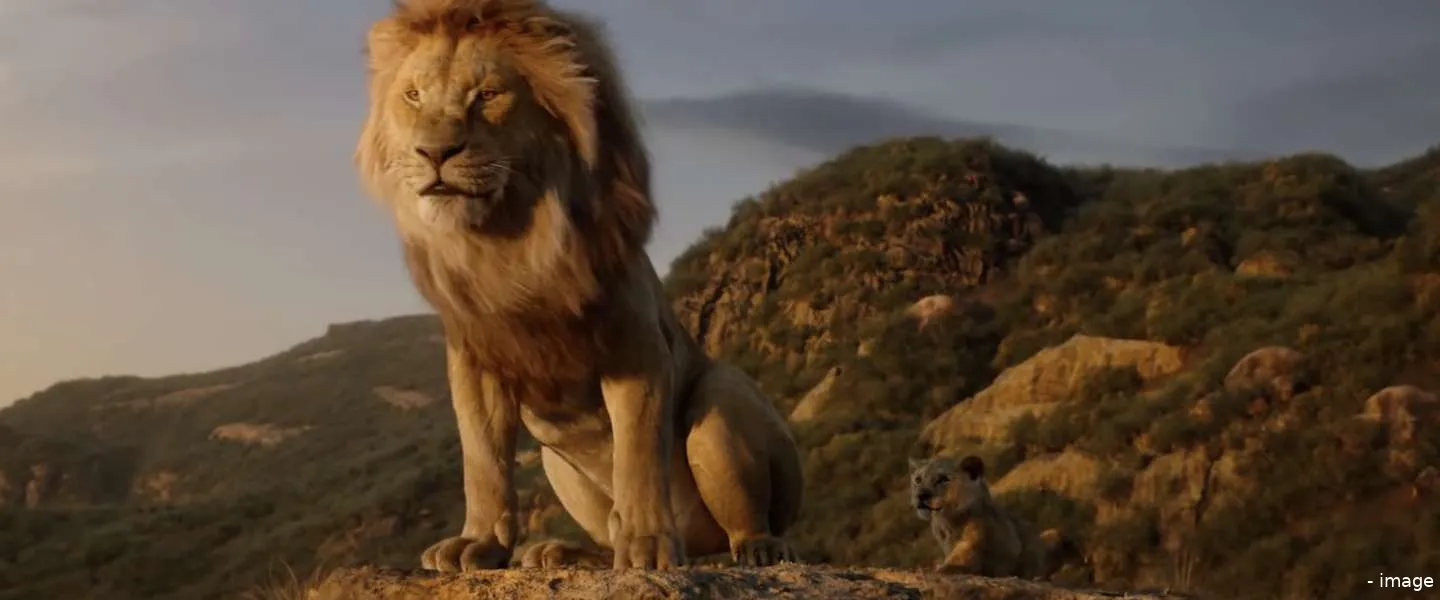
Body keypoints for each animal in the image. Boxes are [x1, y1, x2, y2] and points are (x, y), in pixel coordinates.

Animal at [354, 0, 804, 572]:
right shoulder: (475, 361)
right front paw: (478, 543)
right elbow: (483, 462)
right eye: (413, 95)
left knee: (743, 519)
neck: (506, 242)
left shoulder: (635, 346)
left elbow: (637, 453)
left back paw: (757, 548)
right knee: (605, 530)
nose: (433, 152)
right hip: (557, 463)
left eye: (488, 94)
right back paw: (562, 552)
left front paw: (648, 545)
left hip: (723, 400)